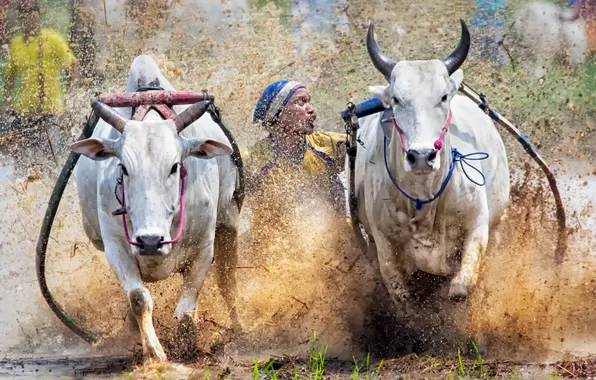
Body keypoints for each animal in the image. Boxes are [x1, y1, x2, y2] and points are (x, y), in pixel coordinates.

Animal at [73, 55, 241, 360]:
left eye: (174, 166)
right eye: (123, 168)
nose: (150, 240)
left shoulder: (204, 248)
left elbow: (187, 311)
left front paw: (187, 346)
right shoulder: (115, 247)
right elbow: (138, 298)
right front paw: (154, 352)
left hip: (228, 221)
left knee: (228, 283)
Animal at [350, 19, 512, 312]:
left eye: (443, 96)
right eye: (396, 99)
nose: (422, 156)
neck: (423, 198)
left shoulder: (478, 225)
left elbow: (461, 288)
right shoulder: (384, 244)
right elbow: (402, 296)